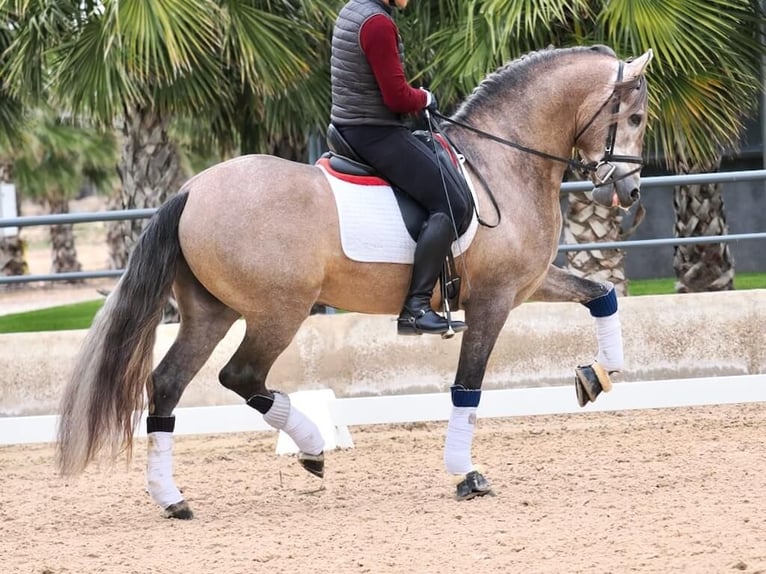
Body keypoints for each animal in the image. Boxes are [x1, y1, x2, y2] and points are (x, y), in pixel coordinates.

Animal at [57, 44, 653, 519]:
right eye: (637, 116)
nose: (627, 193)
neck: (500, 162)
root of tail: (192, 190)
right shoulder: (494, 300)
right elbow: (468, 385)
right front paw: (466, 473)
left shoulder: (527, 284)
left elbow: (602, 295)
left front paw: (597, 375)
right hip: (279, 311)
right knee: (241, 375)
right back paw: (312, 447)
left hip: (211, 312)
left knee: (167, 385)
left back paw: (174, 498)